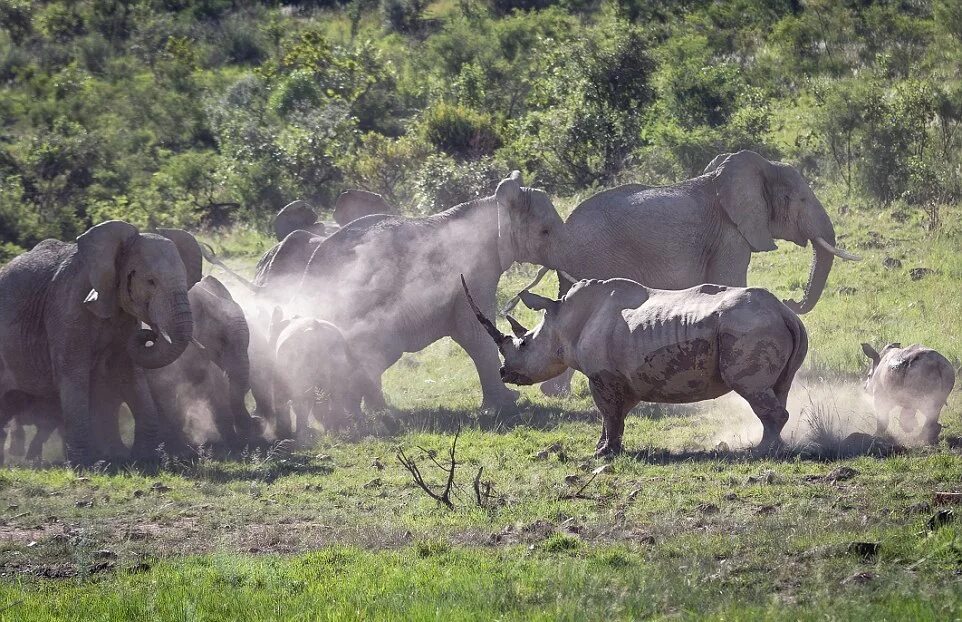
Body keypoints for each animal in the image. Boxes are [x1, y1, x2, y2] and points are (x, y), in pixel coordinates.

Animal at [0, 222, 200, 466]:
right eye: (151, 281)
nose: (150, 334)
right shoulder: (66, 308)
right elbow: (74, 374)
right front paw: (84, 464)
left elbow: (127, 372)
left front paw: (143, 459)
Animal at [142, 276, 255, 456]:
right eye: (222, 340)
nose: (254, 421)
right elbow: (165, 390)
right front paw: (178, 449)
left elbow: (210, 387)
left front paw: (233, 445)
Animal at [462, 278, 808, 458]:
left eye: (523, 344)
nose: (504, 373)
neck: (562, 322)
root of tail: (785, 312)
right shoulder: (620, 378)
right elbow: (614, 416)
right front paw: (603, 448)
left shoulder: (602, 375)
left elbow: (608, 413)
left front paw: (603, 454)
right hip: (768, 325)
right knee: (779, 387)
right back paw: (774, 447)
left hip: (750, 327)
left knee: (752, 389)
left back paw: (762, 452)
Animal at [498, 151, 860, 394]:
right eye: (801, 199)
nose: (791, 301)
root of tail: (565, 232)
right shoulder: (729, 235)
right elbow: (730, 282)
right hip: (595, 259)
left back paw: (556, 392)